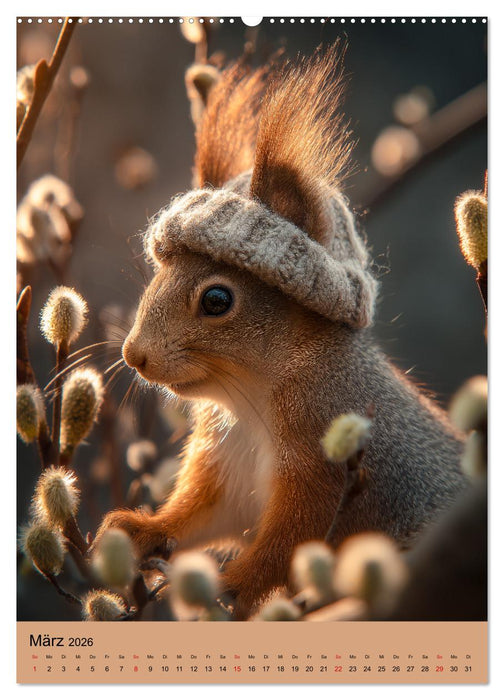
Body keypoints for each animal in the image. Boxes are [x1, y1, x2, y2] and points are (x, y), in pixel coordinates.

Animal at [95, 44, 468, 618]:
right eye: (158, 272)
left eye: (218, 300)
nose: (134, 356)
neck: (252, 398)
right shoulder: (225, 463)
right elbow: (201, 514)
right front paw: (140, 529)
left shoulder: (325, 464)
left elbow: (288, 543)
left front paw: (231, 588)